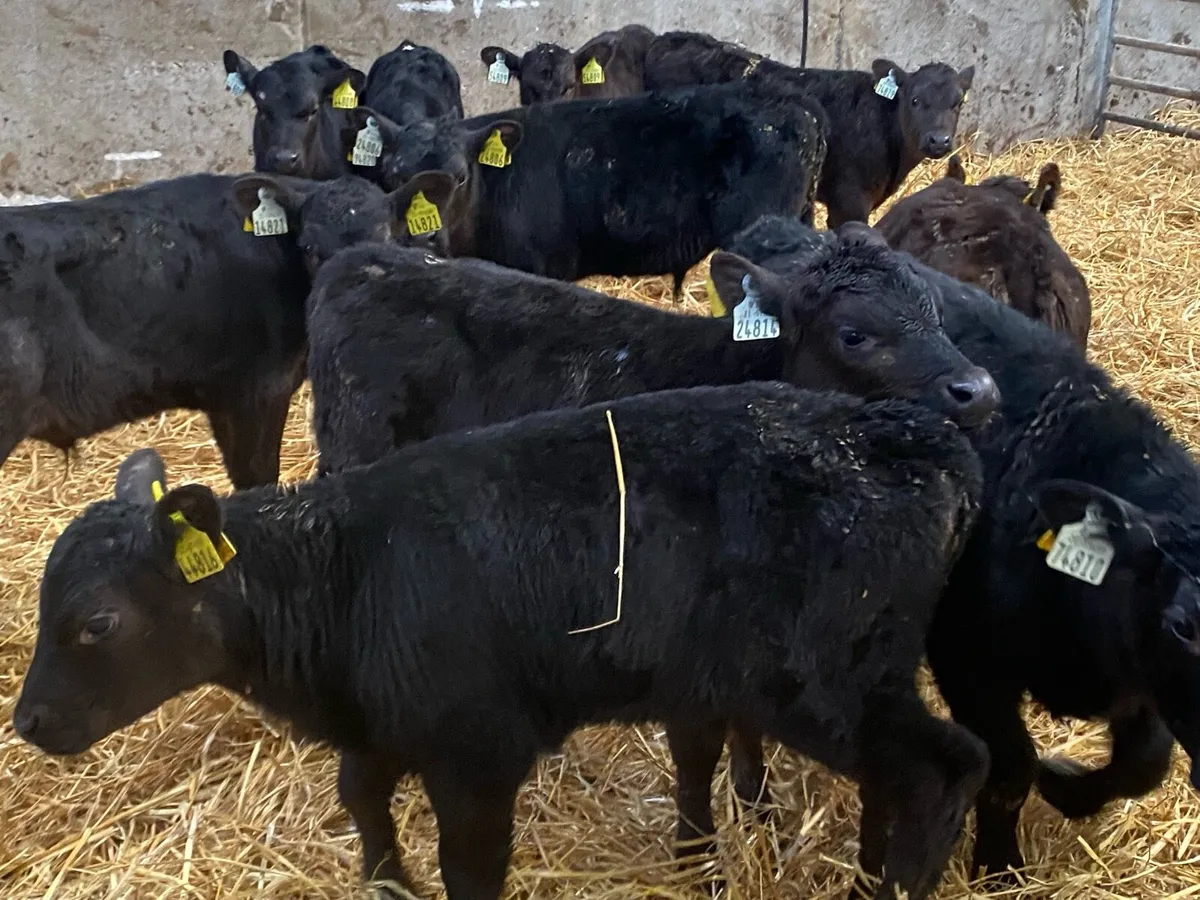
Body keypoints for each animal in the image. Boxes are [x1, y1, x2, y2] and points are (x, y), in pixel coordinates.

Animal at [13, 381, 990, 900]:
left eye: (95, 624)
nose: (28, 724)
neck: (346, 576)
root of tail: (923, 440)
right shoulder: (383, 723)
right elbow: (361, 795)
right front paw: (387, 879)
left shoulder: (478, 752)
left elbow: (470, 868)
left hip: (823, 679)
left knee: (945, 769)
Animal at [693, 214, 1200, 886]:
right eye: (1183, 627)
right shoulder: (969, 659)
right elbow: (1010, 767)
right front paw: (999, 865)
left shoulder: (1133, 674)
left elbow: (1145, 760)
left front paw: (1068, 791)